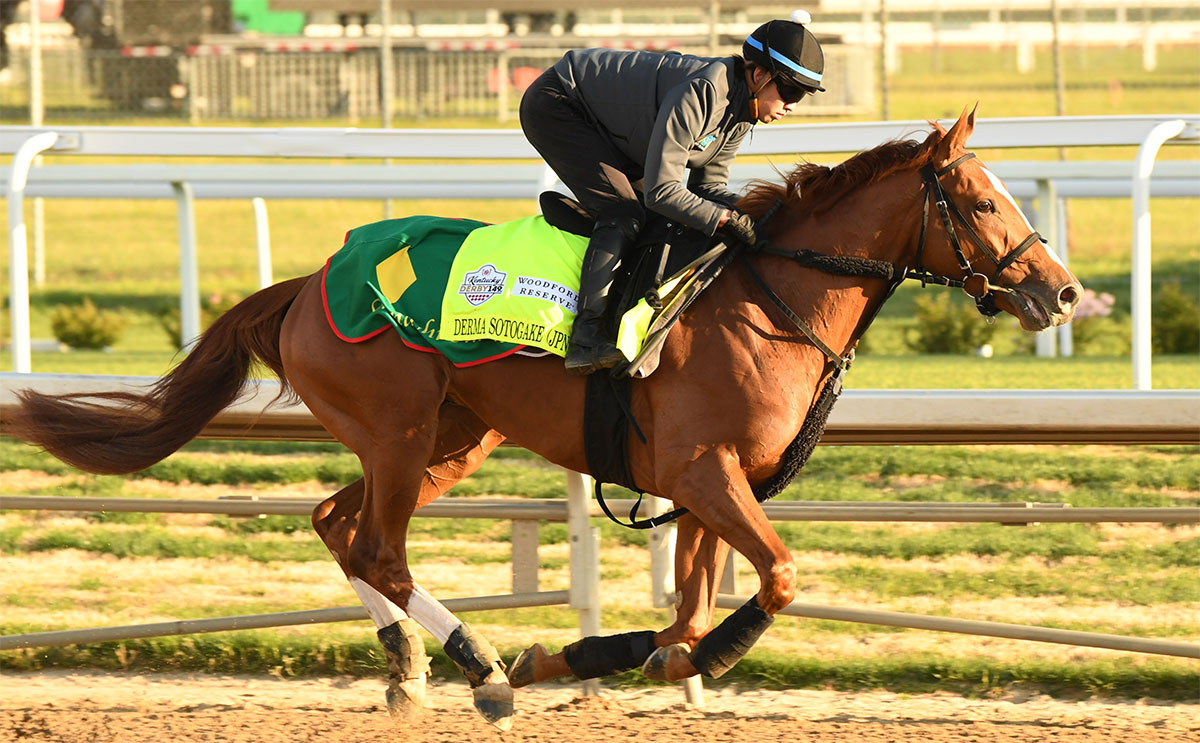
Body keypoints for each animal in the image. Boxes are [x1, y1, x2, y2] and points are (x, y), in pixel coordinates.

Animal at [7, 109, 1080, 734]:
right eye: (981, 199)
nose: (1063, 293)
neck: (769, 301)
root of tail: (308, 283)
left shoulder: (704, 486)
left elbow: (687, 611)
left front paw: (596, 657)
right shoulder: (703, 472)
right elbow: (773, 578)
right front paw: (669, 660)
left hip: (452, 435)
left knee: (337, 525)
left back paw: (408, 668)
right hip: (400, 430)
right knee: (380, 545)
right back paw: (477, 664)